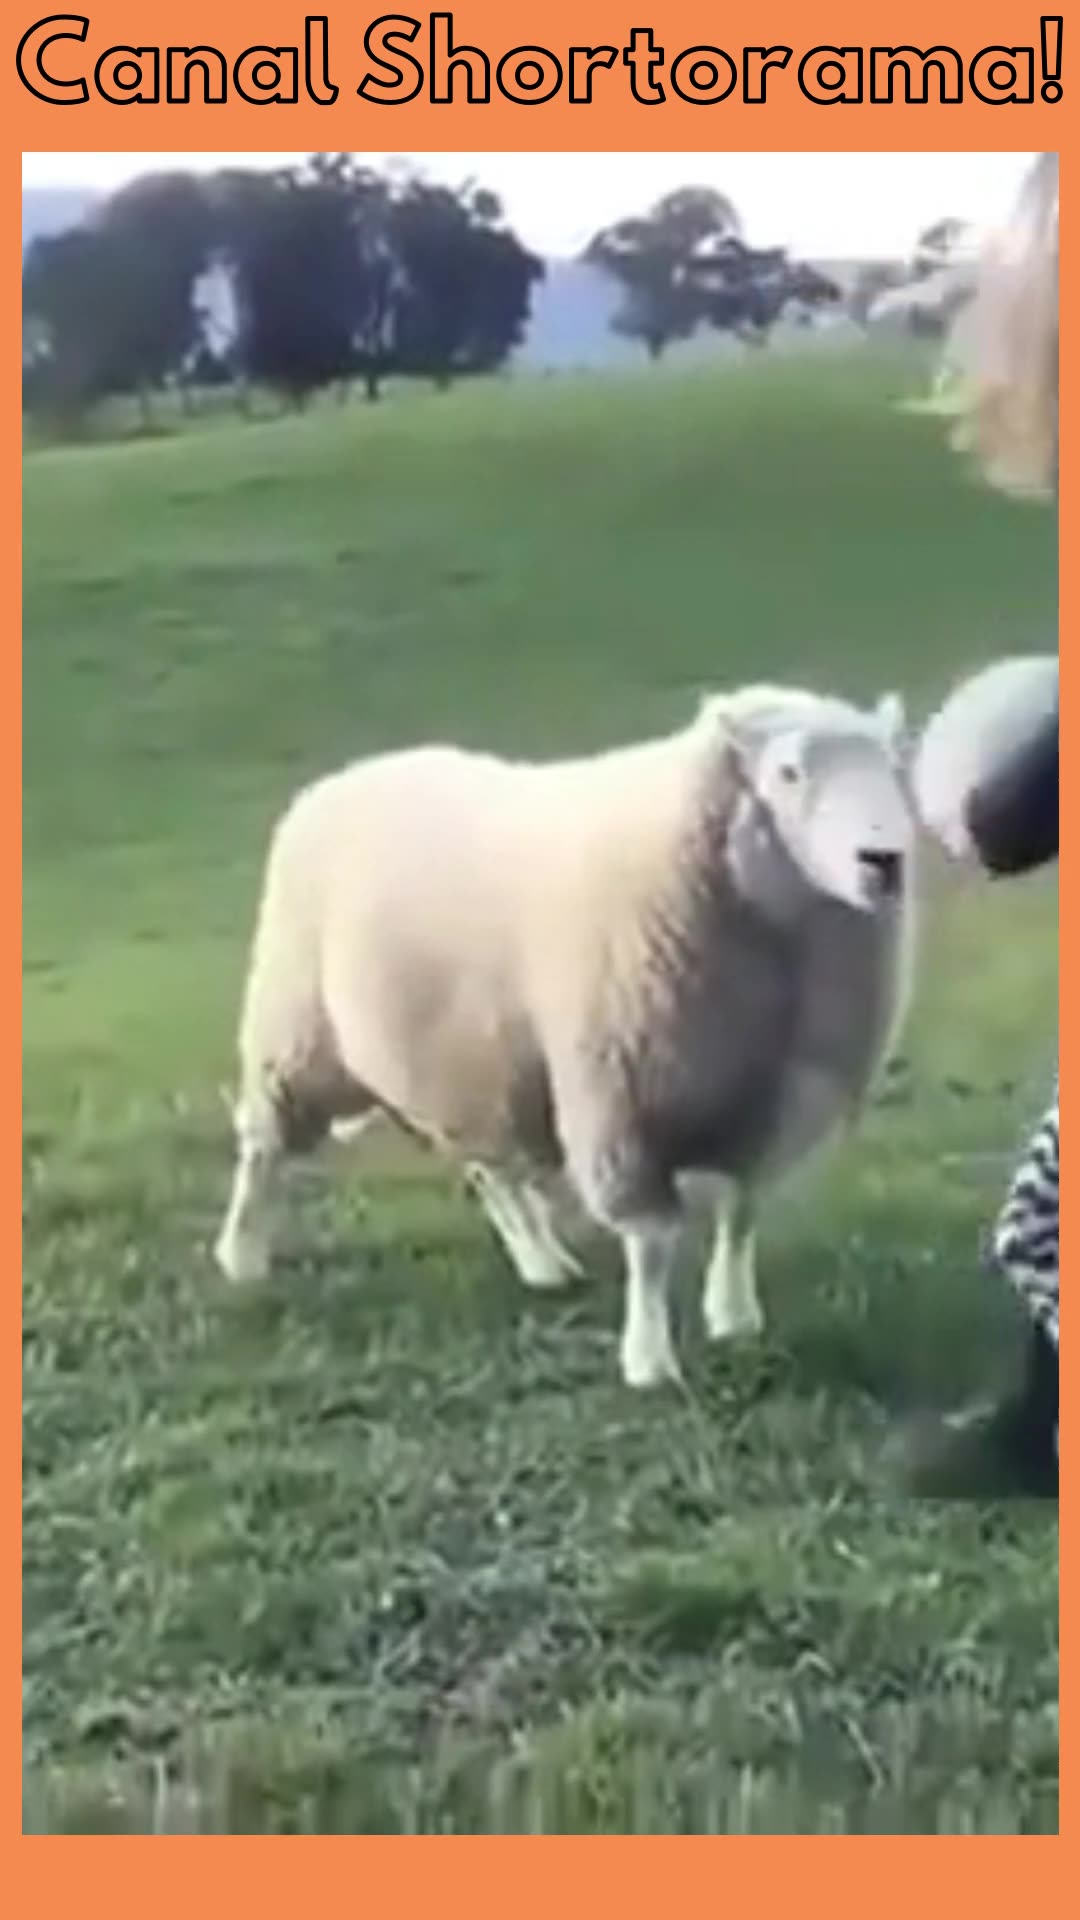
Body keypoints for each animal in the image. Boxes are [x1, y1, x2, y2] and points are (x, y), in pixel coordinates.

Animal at [214, 685, 917, 1387]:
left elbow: (740, 1215)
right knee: (264, 1148)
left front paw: (735, 1317)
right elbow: (651, 1244)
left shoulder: (774, 1102)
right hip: (297, 1033)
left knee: (490, 1166)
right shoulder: (621, 1100)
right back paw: (241, 1254)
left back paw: (542, 1263)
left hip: (467, 1057)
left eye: (894, 767)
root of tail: (350, 775)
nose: (884, 862)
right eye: (787, 773)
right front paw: (650, 1359)